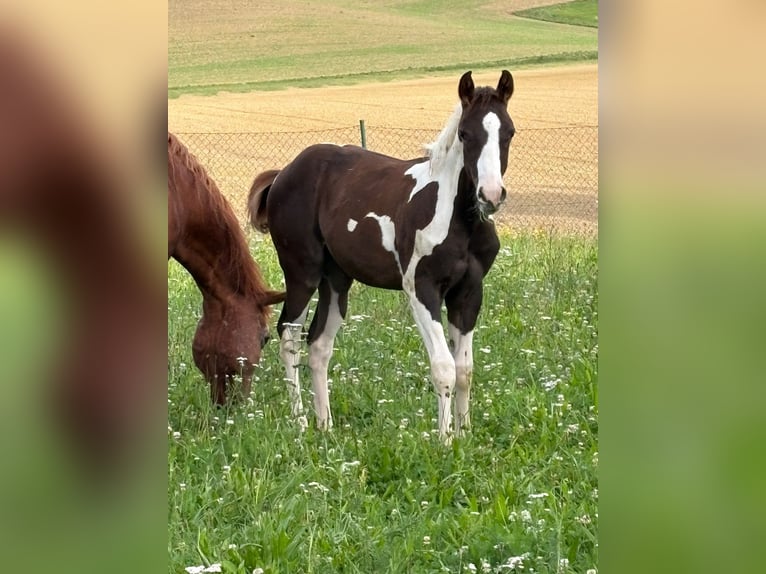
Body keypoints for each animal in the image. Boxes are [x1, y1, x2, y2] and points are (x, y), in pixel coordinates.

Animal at [247, 70, 515, 440]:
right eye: (465, 133)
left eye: (509, 132)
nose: (490, 195)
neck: (457, 216)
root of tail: (284, 173)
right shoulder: (421, 289)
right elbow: (443, 366)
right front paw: (445, 441)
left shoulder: (469, 291)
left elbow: (465, 369)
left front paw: (464, 434)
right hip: (302, 273)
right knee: (289, 338)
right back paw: (300, 423)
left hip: (336, 281)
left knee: (319, 345)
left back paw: (325, 425)